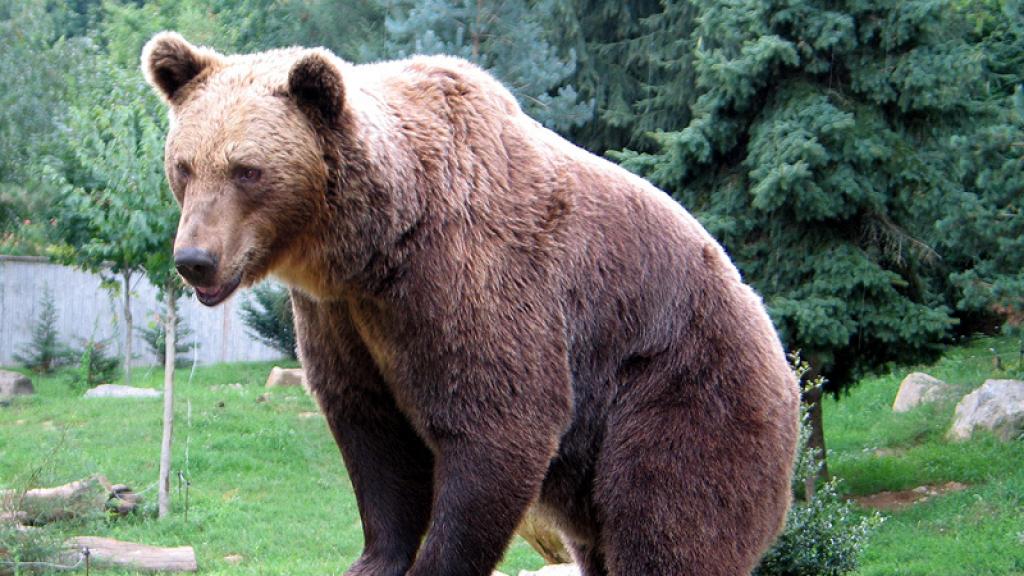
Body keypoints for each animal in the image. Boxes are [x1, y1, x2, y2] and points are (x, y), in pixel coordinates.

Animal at [142, 32, 800, 576]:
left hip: (680, 388)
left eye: (247, 170)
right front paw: (374, 560)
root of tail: (780, 351)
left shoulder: (468, 280)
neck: (375, 245)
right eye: (184, 166)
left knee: (667, 517)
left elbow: (499, 423)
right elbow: (372, 434)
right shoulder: (342, 318)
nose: (195, 258)